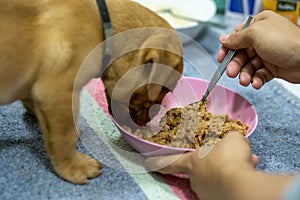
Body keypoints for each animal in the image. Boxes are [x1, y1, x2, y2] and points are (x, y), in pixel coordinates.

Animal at [0, 0, 183, 184]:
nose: (147, 122)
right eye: (161, 93)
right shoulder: (56, 94)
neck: (104, 25)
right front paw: (74, 166)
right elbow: (65, 137)